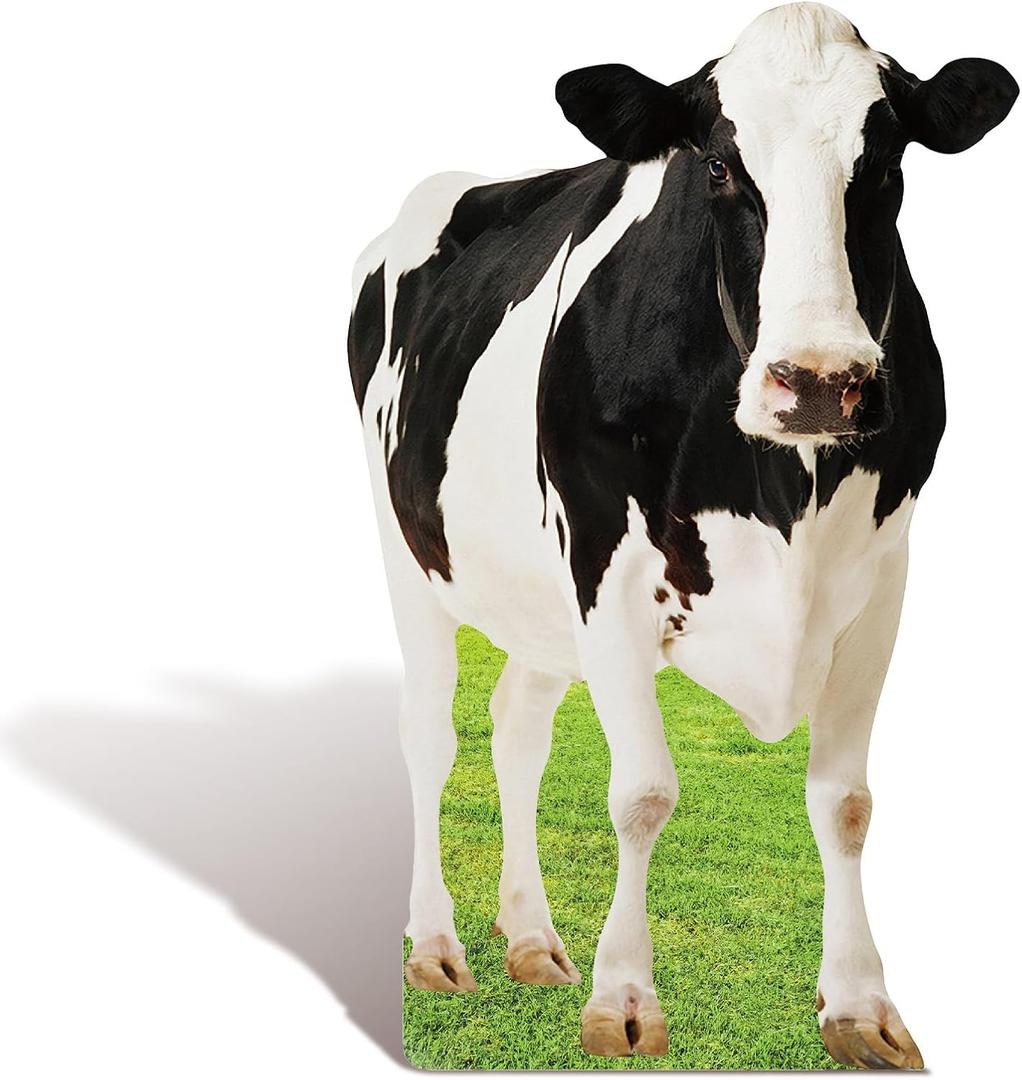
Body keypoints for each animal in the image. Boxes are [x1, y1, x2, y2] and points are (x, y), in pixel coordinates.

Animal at [347, 3, 1016, 1069]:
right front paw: (624, 999)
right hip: (407, 548)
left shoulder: (882, 582)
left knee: (518, 728)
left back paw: (530, 939)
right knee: (430, 734)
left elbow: (847, 801)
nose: (821, 380)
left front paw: (861, 1007)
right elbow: (643, 793)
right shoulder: (605, 570)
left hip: (537, 598)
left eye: (887, 160)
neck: (782, 486)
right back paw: (435, 947)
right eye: (718, 166)